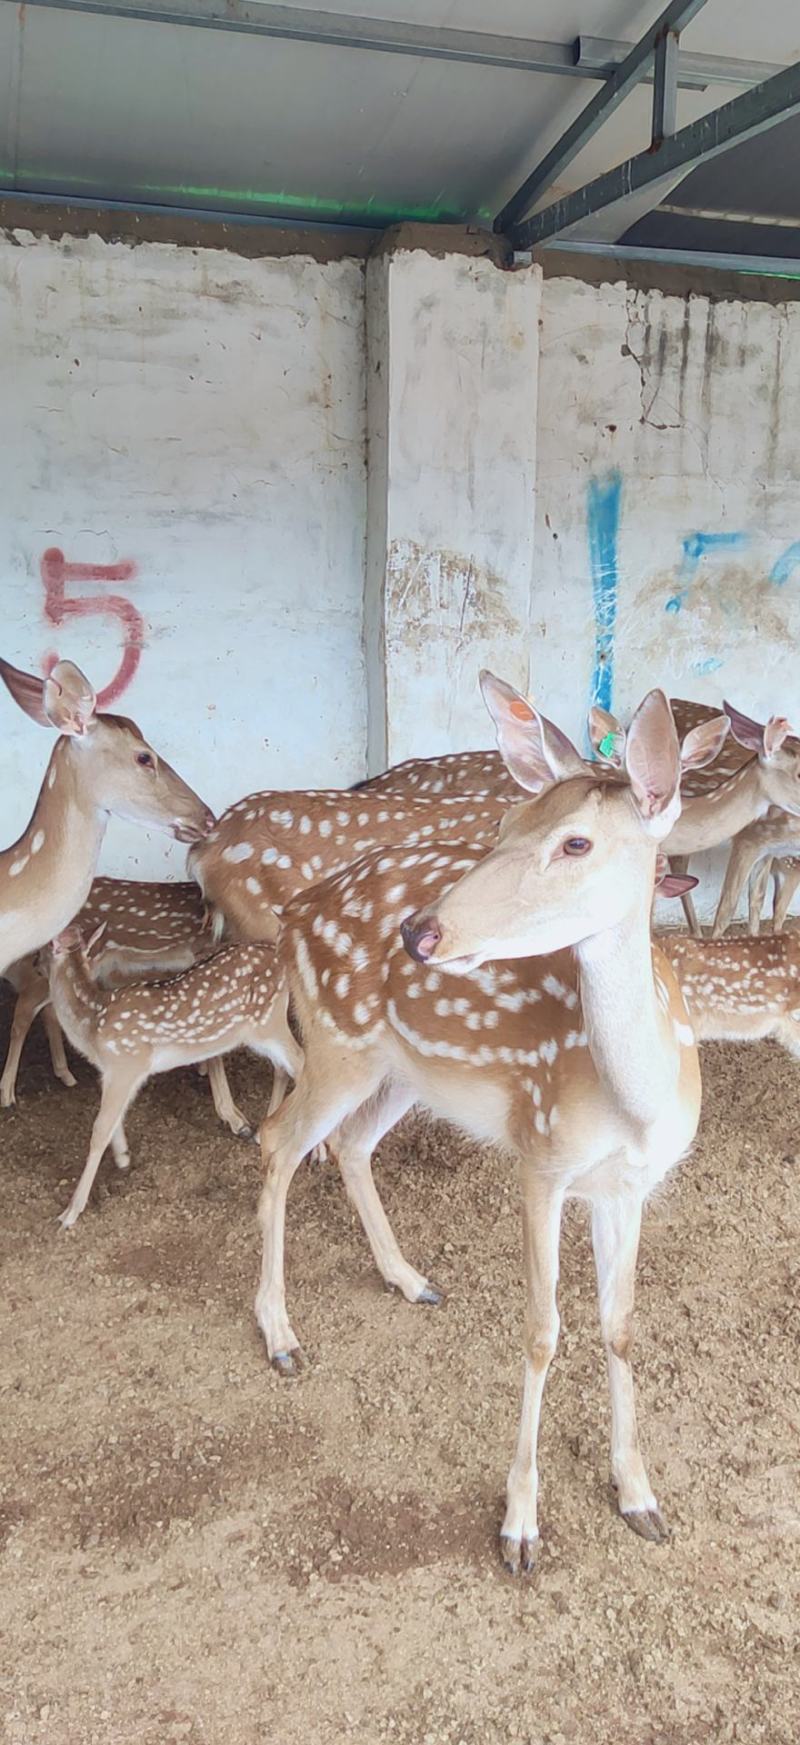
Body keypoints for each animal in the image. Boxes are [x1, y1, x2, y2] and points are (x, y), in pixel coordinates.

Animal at [47, 925, 303, 1229]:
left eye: (43, 953)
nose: (35, 964)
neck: (92, 1025)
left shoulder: (126, 1063)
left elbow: (99, 1130)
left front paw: (70, 1212)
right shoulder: (111, 1073)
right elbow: (113, 1122)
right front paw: (123, 1158)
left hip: (268, 1023)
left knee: (302, 1062)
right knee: (288, 1066)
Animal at [254, 671, 704, 1574]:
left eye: (575, 843)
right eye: (500, 825)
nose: (419, 930)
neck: (637, 1103)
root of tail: (295, 914)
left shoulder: (628, 1186)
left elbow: (620, 1326)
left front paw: (639, 1494)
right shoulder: (542, 1157)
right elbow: (541, 1330)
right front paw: (521, 1524)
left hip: (404, 1071)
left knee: (350, 1144)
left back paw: (408, 1276)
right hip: (336, 1043)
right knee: (278, 1140)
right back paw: (280, 1331)